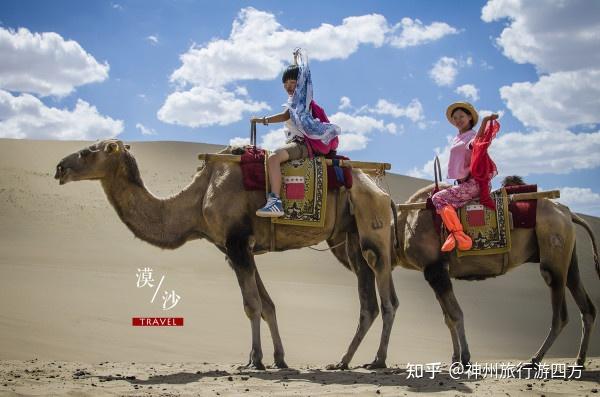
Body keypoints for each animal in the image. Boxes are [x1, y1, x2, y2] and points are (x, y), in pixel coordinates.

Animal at [55, 138, 398, 368]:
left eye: (89, 151)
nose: (59, 167)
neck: (198, 200)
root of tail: (382, 189)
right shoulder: (238, 249)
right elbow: (267, 305)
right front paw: (279, 358)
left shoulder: (236, 242)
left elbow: (251, 305)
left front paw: (255, 360)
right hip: (348, 239)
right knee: (368, 301)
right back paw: (342, 361)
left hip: (373, 227)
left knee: (387, 296)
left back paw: (378, 361)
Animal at [384, 181, 600, 366]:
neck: (403, 225)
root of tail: (568, 212)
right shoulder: (435, 273)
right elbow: (447, 319)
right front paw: (454, 358)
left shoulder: (434, 269)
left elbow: (455, 315)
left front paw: (465, 358)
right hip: (568, 256)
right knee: (586, 305)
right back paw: (579, 360)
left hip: (553, 247)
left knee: (559, 311)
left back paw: (534, 360)